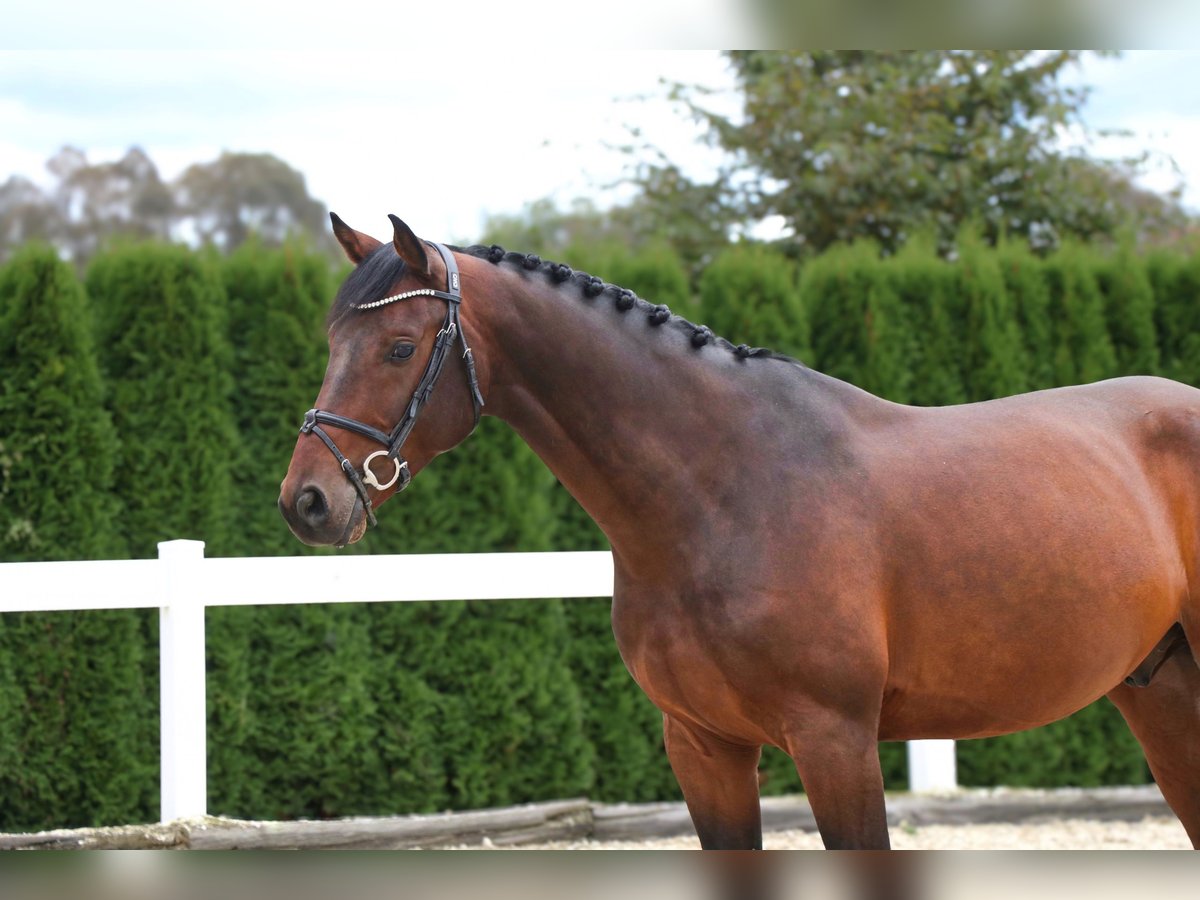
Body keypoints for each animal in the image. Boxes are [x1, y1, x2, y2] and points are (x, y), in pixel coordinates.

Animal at [278, 214, 1200, 849]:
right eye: (330, 340)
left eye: (400, 347)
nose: (308, 500)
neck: (724, 494)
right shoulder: (704, 748)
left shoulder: (835, 744)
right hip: (1159, 693)